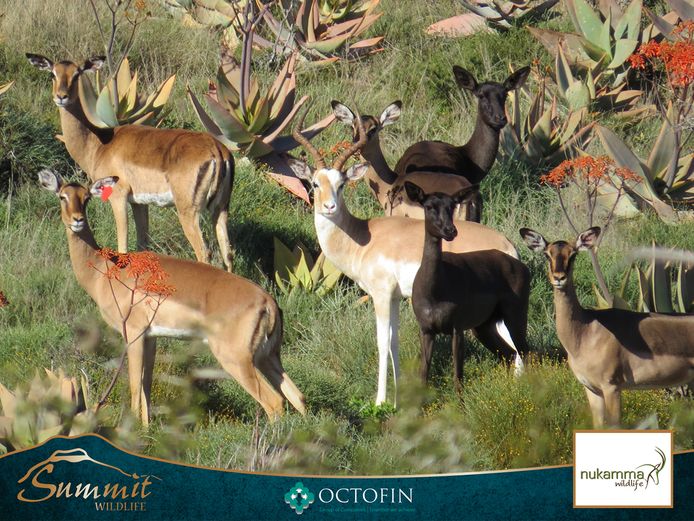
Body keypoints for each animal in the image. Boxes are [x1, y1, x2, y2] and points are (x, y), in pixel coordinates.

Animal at [27, 54, 235, 272]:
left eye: (76, 75)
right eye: (53, 73)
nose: (61, 97)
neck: (99, 144)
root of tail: (217, 150)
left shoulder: (118, 197)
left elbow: (123, 247)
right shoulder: (139, 203)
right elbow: (143, 244)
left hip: (188, 212)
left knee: (205, 252)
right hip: (221, 210)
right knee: (227, 253)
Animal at [39, 169, 305, 425]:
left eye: (86, 198)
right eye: (62, 196)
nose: (77, 220)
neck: (105, 270)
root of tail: (268, 303)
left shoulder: (133, 334)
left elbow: (134, 385)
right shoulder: (151, 337)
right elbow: (146, 386)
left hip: (237, 360)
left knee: (274, 403)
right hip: (268, 357)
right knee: (297, 397)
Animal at [408, 182, 530, 390]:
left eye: (452, 205)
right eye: (429, 206)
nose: (450, 230)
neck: (434, 293)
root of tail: (525, 269)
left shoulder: (457, 326)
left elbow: (458, 376)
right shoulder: (426, 328)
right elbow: (423, 373)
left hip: (516, 312)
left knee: (526, 352)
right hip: (484, 325)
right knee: (509, 353)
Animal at [520, 227, 694, 427]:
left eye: (573, 254)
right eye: (547, 254)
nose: (559, 278)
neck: (585, 331)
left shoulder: (612, 387)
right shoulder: (592, 389)